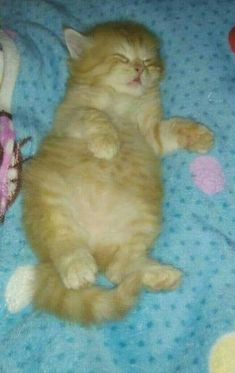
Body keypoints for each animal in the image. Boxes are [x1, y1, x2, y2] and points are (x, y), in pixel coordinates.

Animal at [22, 21, 213, 322]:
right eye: (121, 57)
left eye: (147, 60)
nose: (139, 69)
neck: (122, 104)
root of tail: (95, 248)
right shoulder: (70, 116)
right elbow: (95, 115)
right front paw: (106, 143)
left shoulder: (151, 134)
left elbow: (173, 127)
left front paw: (199, 134)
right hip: (50, 201)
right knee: (65, 244)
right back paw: (78, 268)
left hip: (142, 218)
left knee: (118, 269)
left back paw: (159, 275)